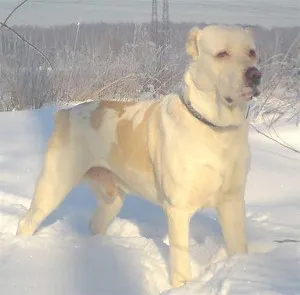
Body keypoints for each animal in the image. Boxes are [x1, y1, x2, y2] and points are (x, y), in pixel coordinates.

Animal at [17, 24, 260, 288]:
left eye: (252, 52)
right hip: (53, 186)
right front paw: (182, 287)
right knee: (27, 222)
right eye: (222, 54)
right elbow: (180, 263)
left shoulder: (232, 201)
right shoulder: (178, 209)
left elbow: (239, 247)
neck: (217, 129)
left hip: (112, 199)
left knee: (95, 224)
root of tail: (65, 113)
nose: (255, 74)